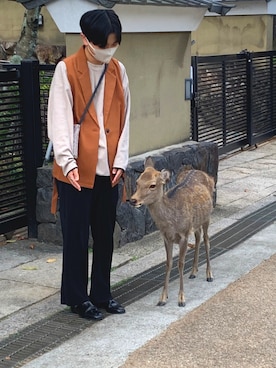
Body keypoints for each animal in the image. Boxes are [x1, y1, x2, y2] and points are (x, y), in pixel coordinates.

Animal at [130, 157, 215, 306]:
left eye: (152, 185)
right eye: (137, 182)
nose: (133, 200)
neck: (170, 223)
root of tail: (207, 175)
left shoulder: (184, 234)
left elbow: (180, 264)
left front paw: (181, 299)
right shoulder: (166, 238)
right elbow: (168, 263)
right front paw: (163, 298)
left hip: (207, 217)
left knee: (206, 240)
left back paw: (209, 274)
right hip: (196, 222)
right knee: (198, 237)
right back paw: (193, 272)